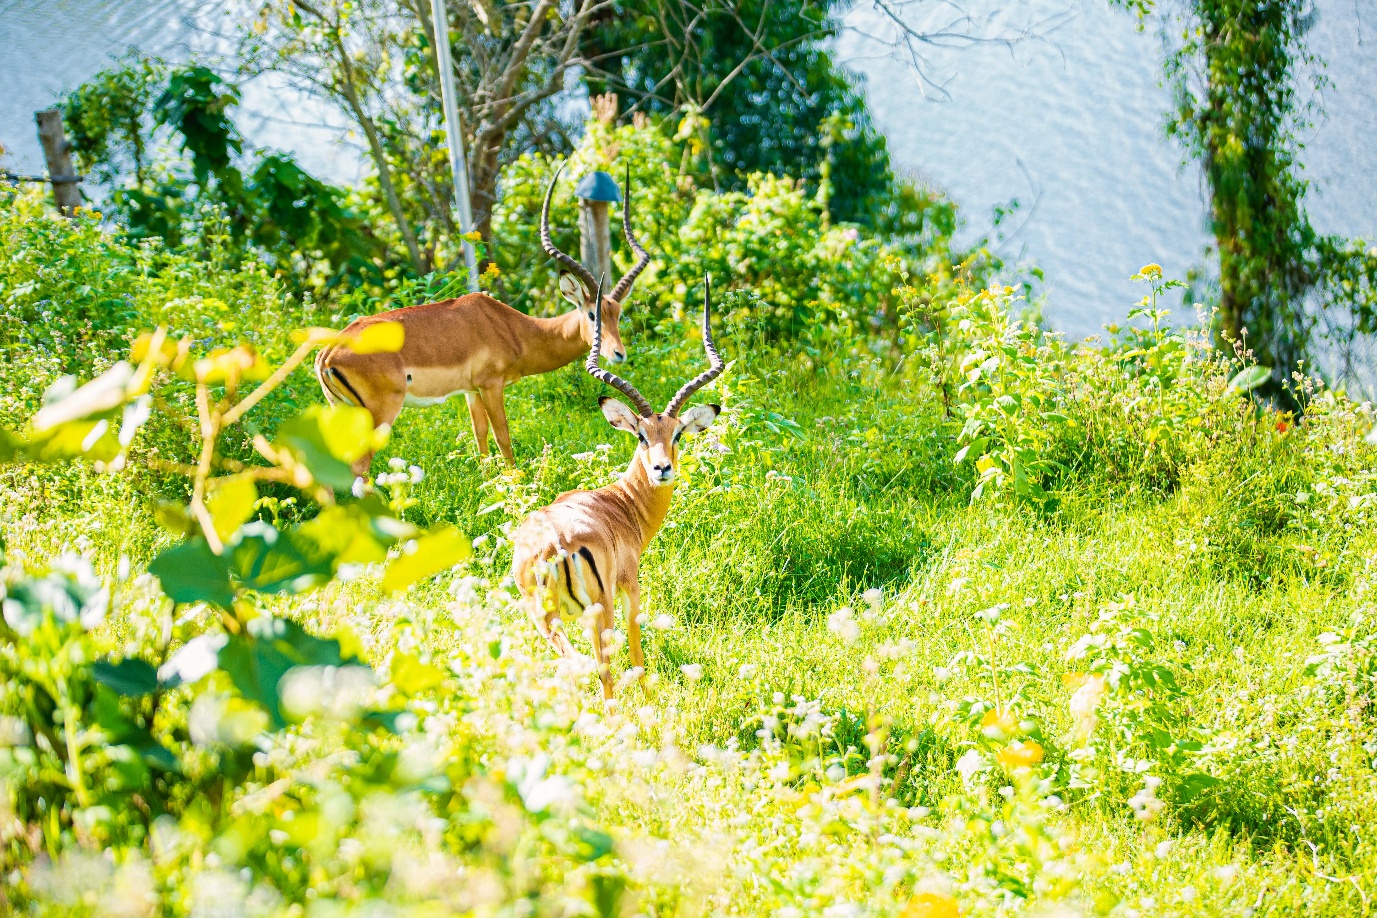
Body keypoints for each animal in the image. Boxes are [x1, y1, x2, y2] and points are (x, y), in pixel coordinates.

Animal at [314, 164, 652, 472]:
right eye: (593, 314)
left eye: (617, 314)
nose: (618, 354)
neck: (511, 328)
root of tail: (328, 353)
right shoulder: (491, 385)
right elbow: (503, 436)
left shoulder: (471, 391)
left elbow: (480, 439)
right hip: (380, 415)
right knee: (358, 468)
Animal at [511, 276, 724, 700]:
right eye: (641, 435)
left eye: (677, 433)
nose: (662, 468)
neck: (619, 505)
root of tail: (556, 542)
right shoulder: (630, 585)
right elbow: (637, 648)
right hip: (600, 607)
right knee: (602, 667)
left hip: (544, 617)